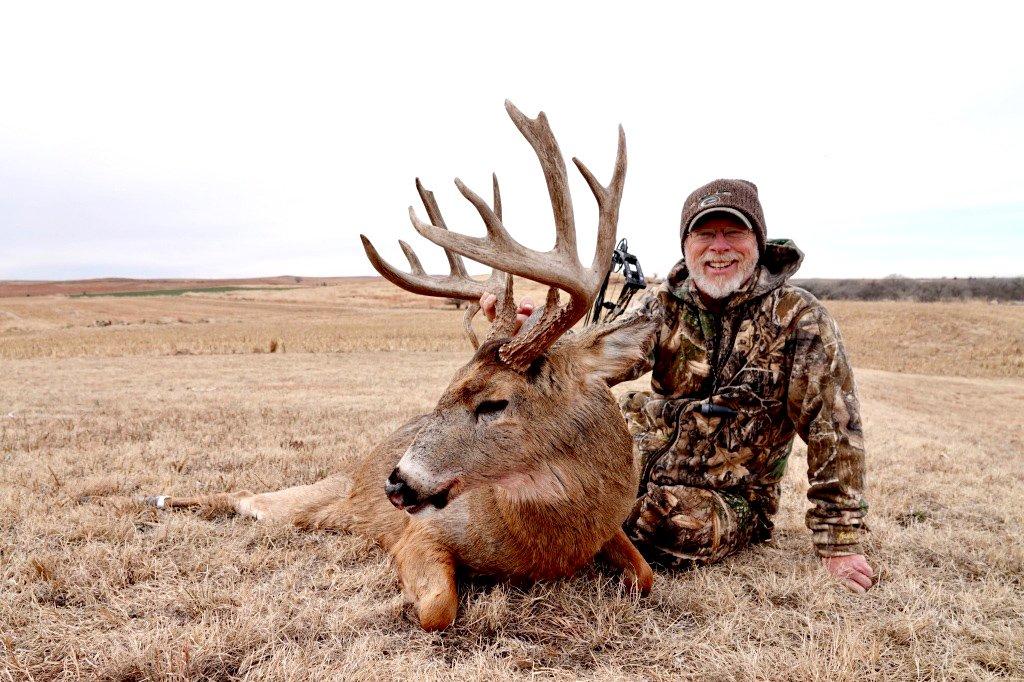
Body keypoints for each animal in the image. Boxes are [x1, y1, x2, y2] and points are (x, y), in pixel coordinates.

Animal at [127, 102, 656, 630]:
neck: (550, 541)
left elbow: (646, 576)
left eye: (494, 402)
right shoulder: (420, 533)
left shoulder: (610, 532)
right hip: (318, 496)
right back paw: (158, 498)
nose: (396, 482)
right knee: (250, 500)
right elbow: (438, 608)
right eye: (447, 387)